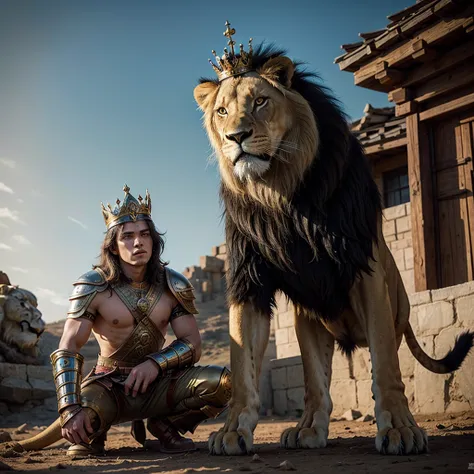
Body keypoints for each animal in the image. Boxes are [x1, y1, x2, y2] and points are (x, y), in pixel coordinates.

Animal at [193, 45, 474, 456]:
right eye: (222, 111)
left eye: (260, 101)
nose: (236, 137)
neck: (280, 193)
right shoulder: (249, 281)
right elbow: (243, 366)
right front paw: (231, 430)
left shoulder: (364, 268)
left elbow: (387, 368)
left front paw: (400, 429)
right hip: (309, 317)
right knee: (315, 384)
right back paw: (307, 428)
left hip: (388, 308)